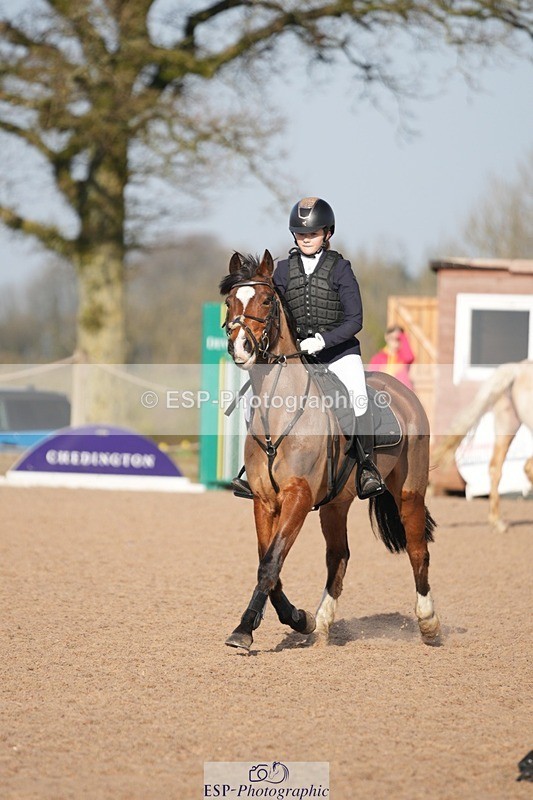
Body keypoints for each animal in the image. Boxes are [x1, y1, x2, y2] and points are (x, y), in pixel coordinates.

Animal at [220, 250, 440, 651]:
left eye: (267, 300)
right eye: (230, 302)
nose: (240, 348)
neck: (280, 411)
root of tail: (404, 392)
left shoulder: (298, 496)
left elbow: (271, 562)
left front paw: (245, 630)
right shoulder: (264, 499)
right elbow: (268, 563)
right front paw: (297, 619)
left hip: (410, 493)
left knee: (418, 550)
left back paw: (429, 624)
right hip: (336, 503)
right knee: (339, 555)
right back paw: (321, 623)